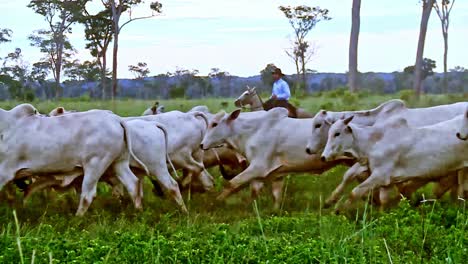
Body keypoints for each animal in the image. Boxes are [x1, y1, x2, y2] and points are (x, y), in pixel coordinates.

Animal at [0, 104, 147, 216]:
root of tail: (116, 119)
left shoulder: (4, 172)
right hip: (119, 163)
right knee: (133, 184)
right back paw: (138, 212)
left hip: (95, 164)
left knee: (88, 194)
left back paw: (77, 218)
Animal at [199, 108, 352, 207]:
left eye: (214, 124)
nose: (202, 144)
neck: (252, 131)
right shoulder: (277, 173)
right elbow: (271, 195)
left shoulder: (258, 167)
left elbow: (232, 184)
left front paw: (215, 202)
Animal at [322, 115, 468, 208]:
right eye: (328, 133)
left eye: (337, 133)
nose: (323, 157)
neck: (373, 141)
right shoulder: (381, 177)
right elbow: (348, 176)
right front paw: (330, 201)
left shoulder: (380, 176)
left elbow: (355, 192)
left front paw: (340, 210)